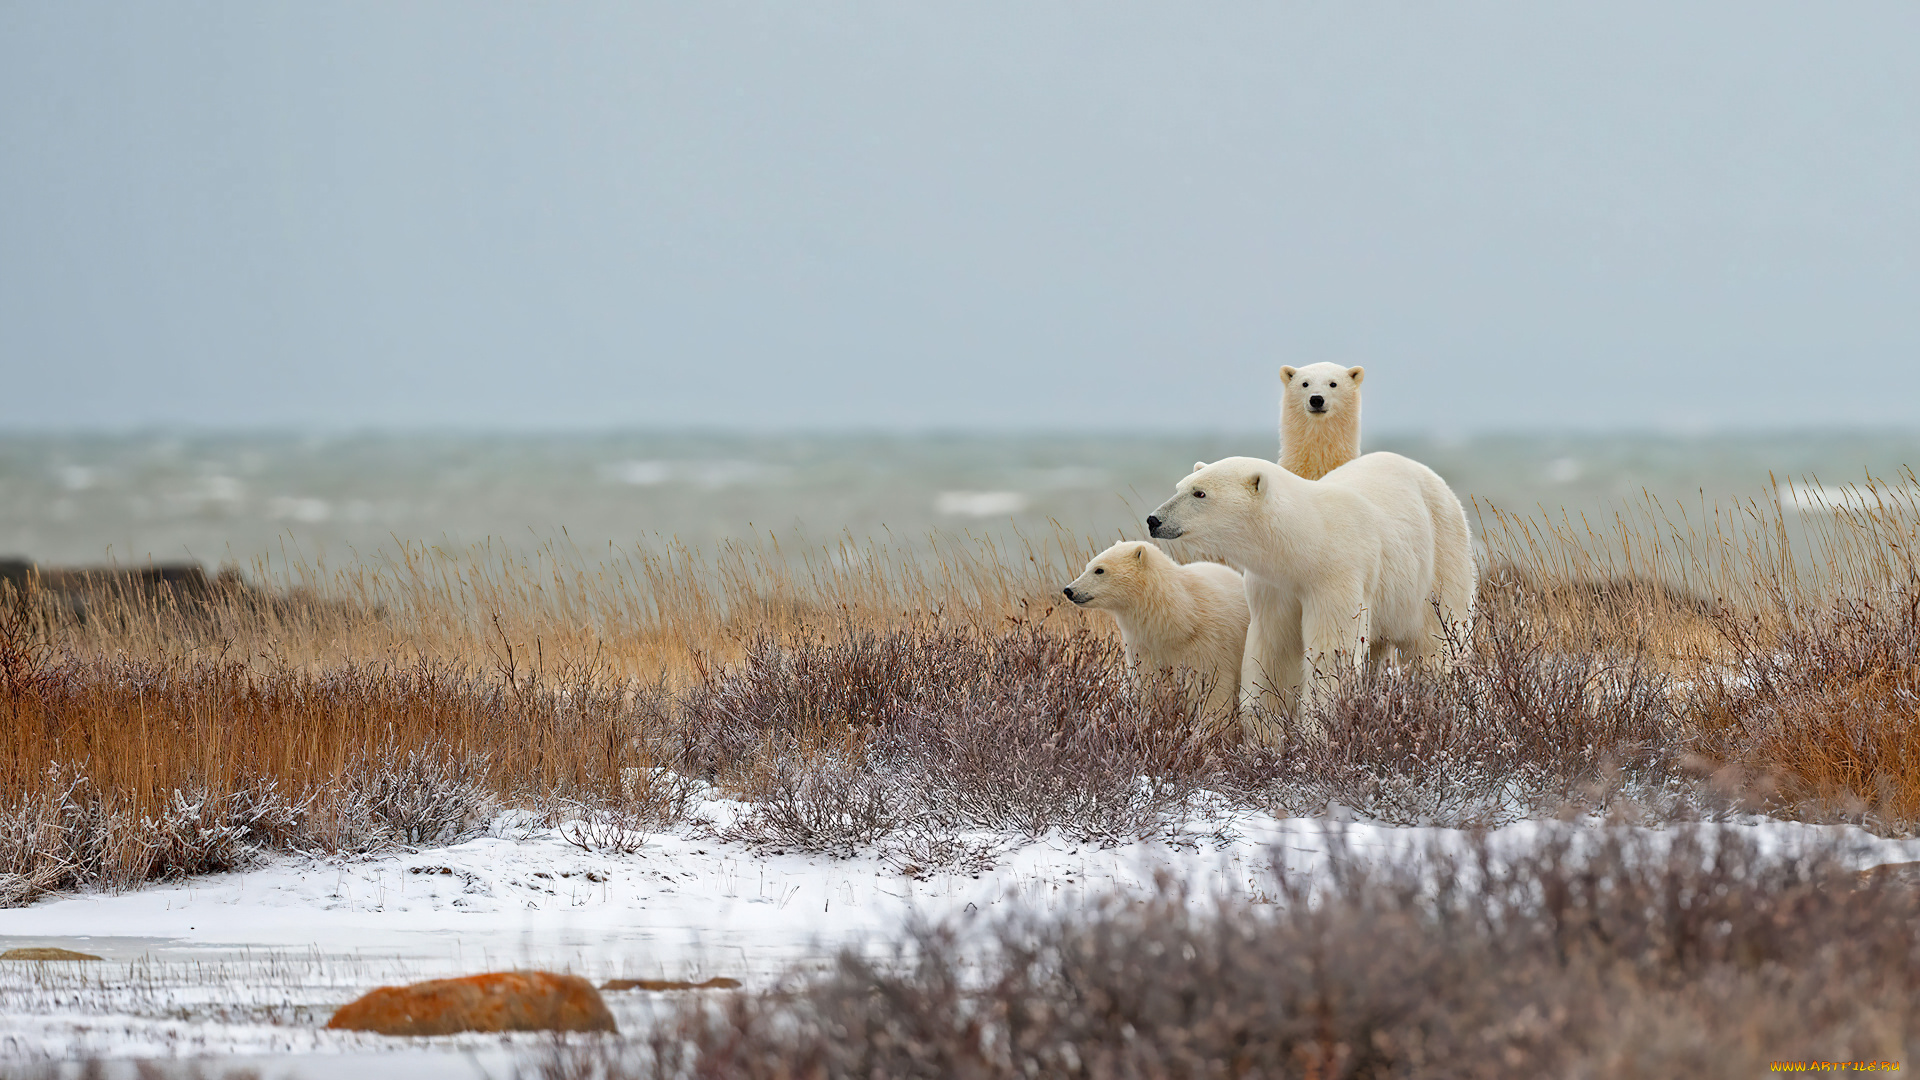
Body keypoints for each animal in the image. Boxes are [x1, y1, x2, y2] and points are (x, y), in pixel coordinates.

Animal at [1059, 538, 1251, 722]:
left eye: (1099, 570)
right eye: (1088, 566)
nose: (1069, 590)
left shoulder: (1207, 646)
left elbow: (1211, 691)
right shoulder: (1144, 647)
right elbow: (1150, 686)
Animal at [1144, 447, 1474, 737]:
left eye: (1199, 493)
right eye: (1180, 486)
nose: (1153, 519)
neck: (1310, 542)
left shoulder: (1336, 575)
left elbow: (1331, 652)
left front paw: (1318, 729)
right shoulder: (1274, 587)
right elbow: (1273, 650)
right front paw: (1264, 734)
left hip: (1440, 555)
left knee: (1437, 643)